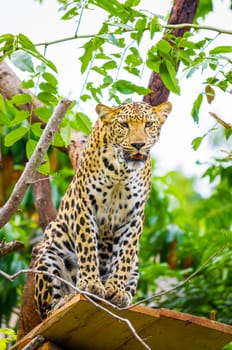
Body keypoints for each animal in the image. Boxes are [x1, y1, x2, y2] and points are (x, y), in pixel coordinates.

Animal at [33, 100, 170, 318]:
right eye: (124, 125)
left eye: (148, 124)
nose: (138, 145)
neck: (121, 171)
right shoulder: (85, 206)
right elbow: (88, 246)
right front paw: (91, 284)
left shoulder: (134, 216)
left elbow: (124, 255)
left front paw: (116, 289)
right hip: (49, 252)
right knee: (48, 309)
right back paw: (63, 300)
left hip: (136, 265)